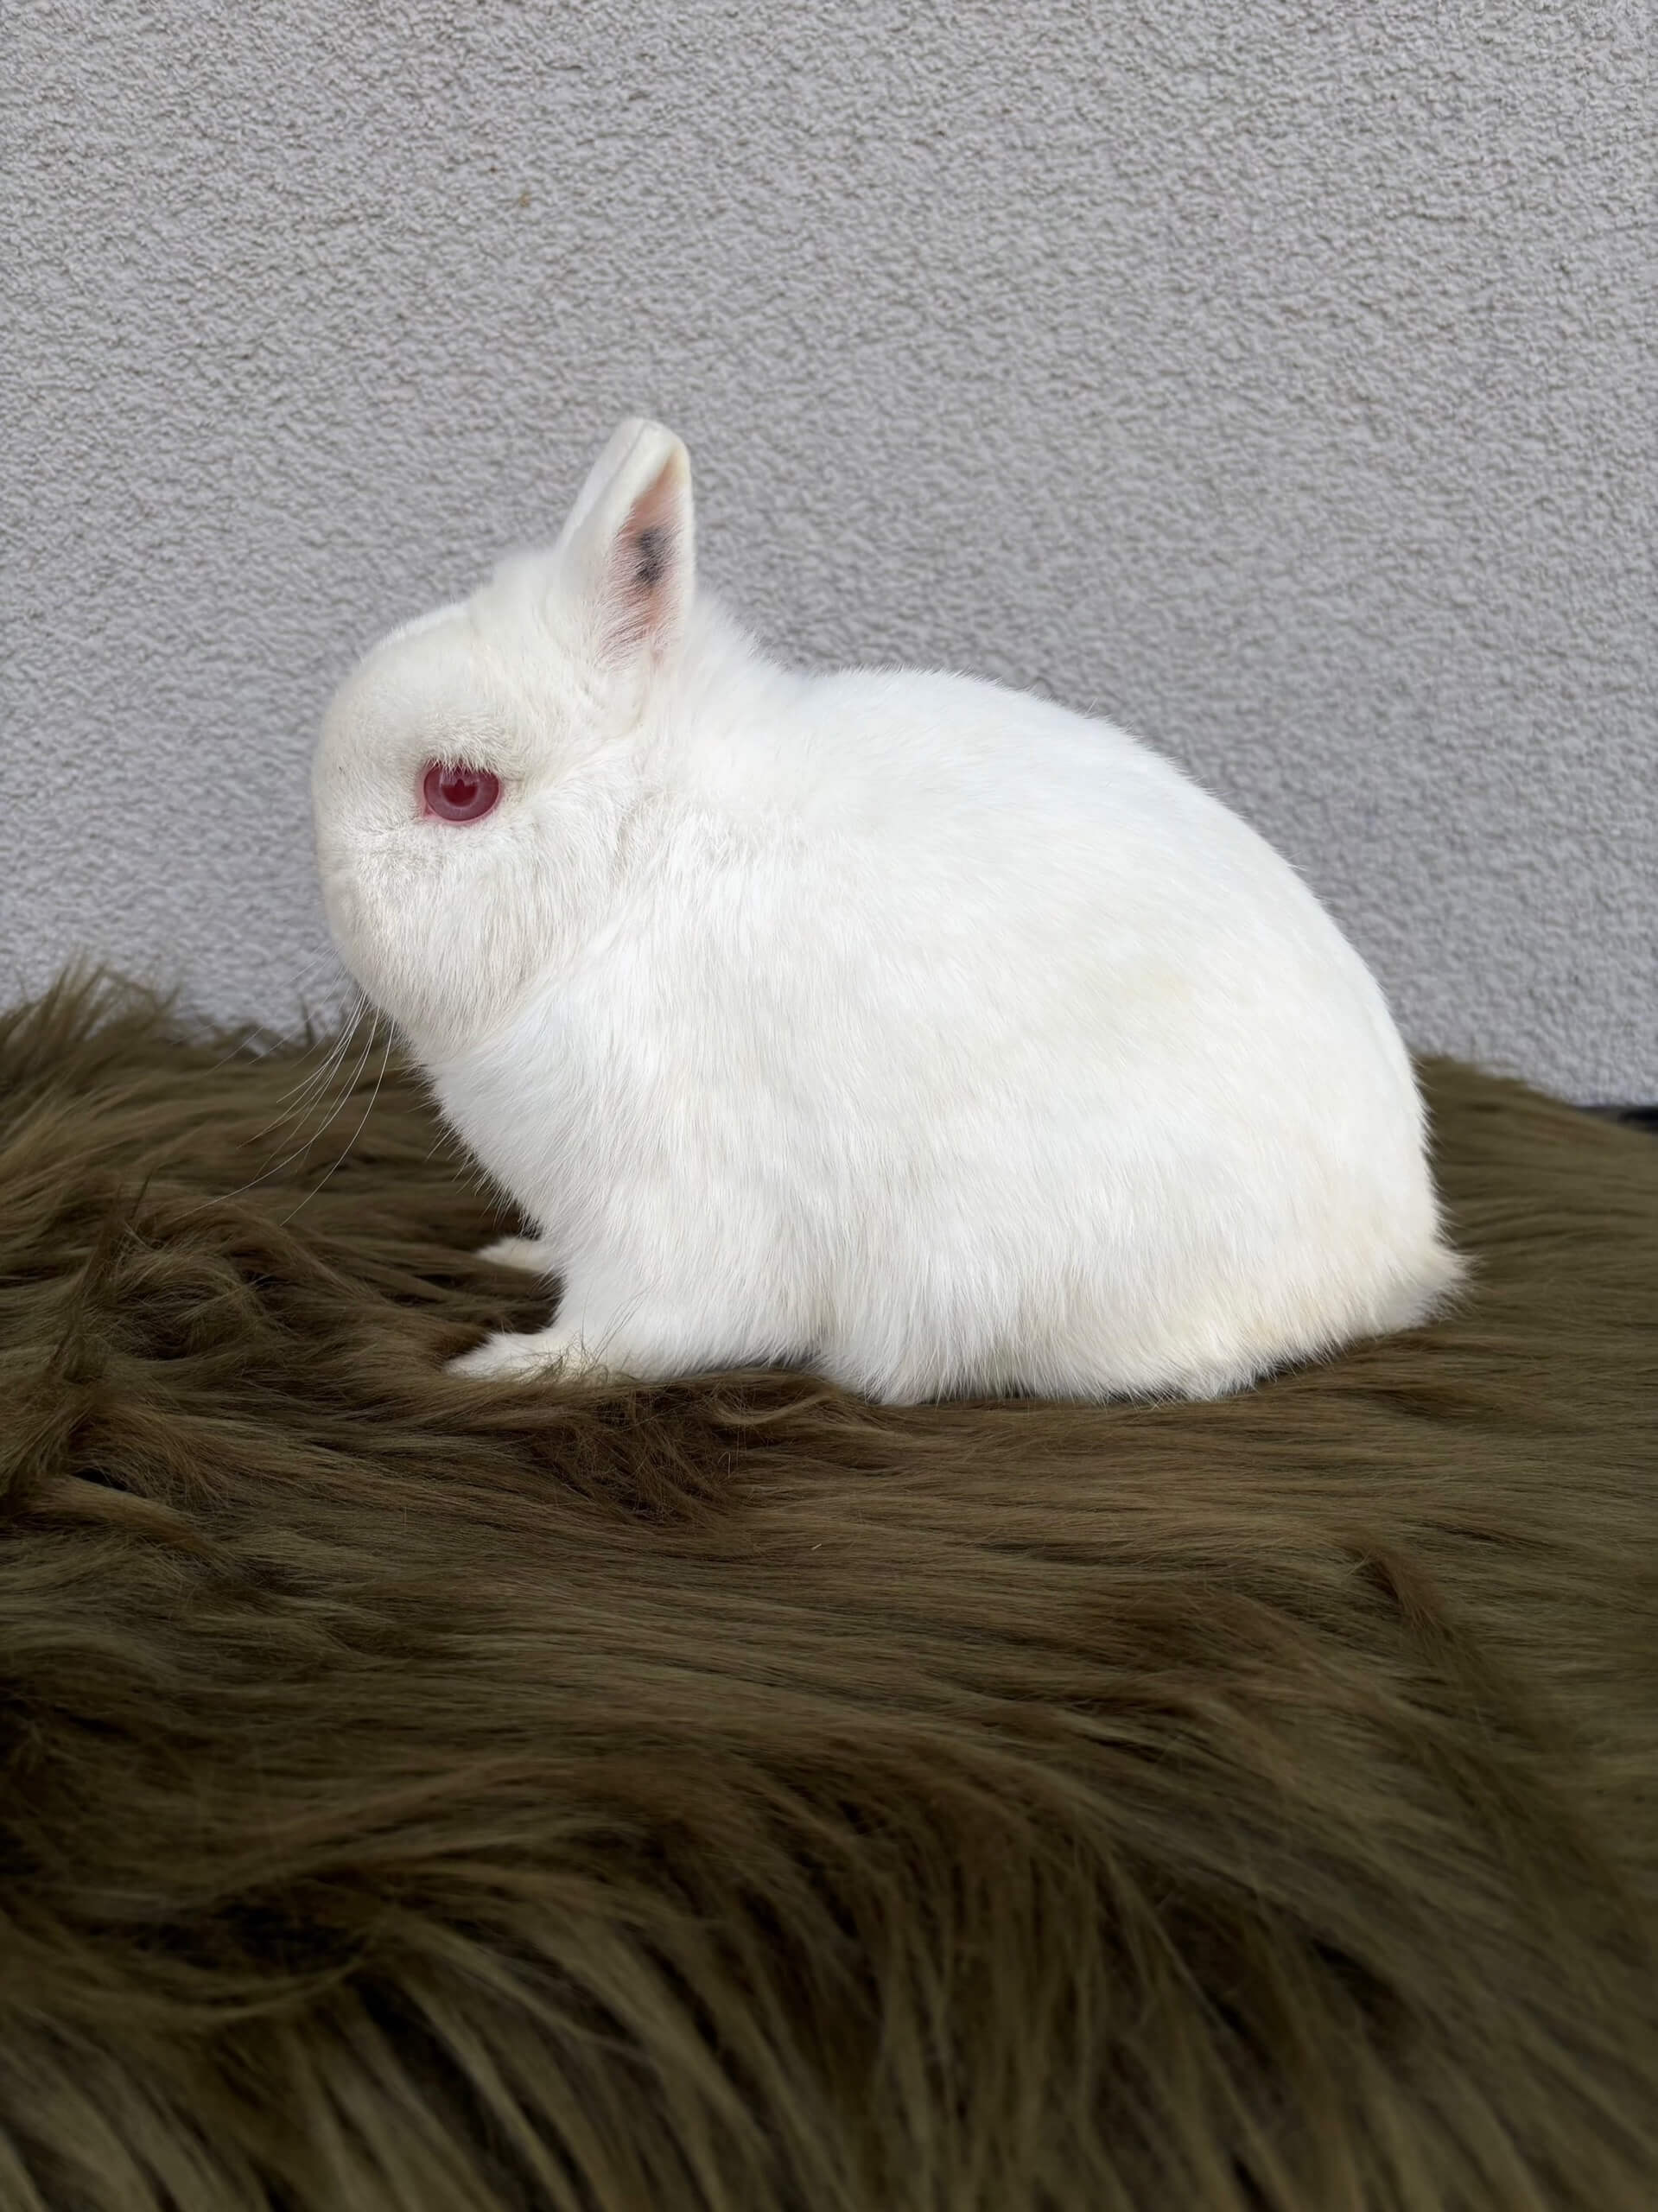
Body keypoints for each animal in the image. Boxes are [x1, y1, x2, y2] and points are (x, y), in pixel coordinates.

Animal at [313, 417, 1463, 1405]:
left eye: (458, 790)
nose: (327, 875)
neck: (629, 862)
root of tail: (1396, 1249)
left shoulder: (670, 1208)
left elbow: (636, 1331)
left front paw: (506, 1365)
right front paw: (514, 1253)